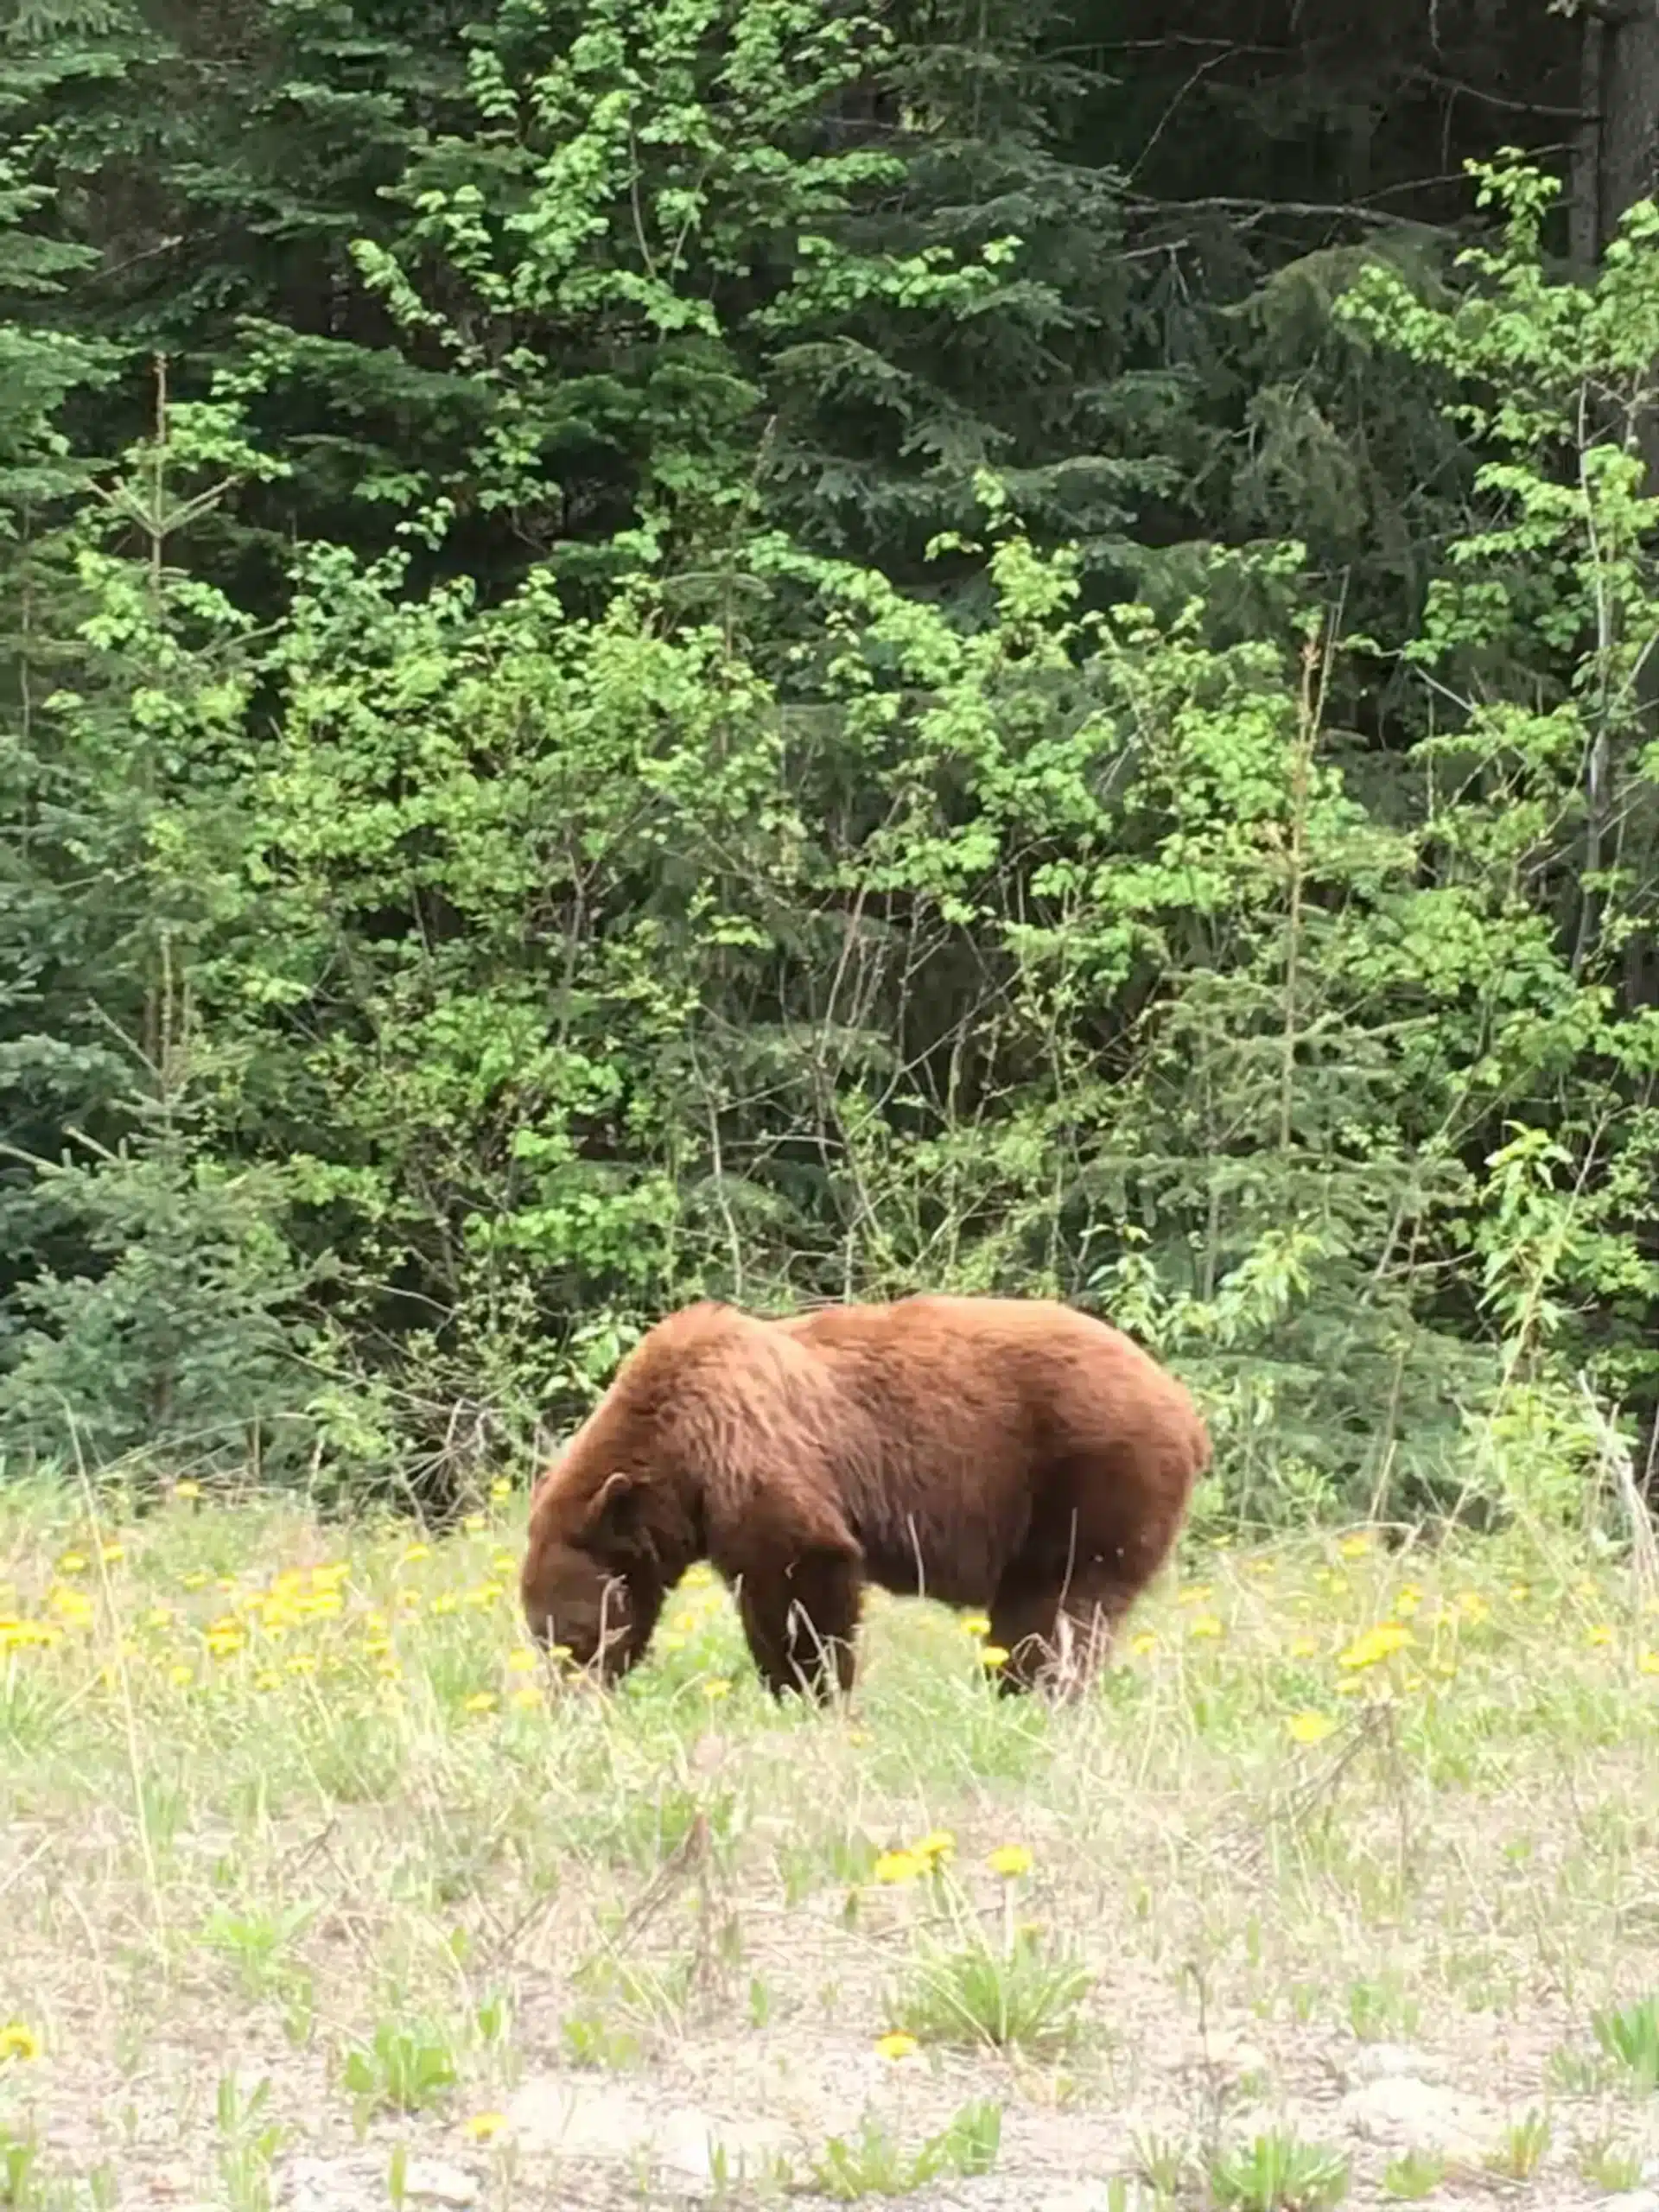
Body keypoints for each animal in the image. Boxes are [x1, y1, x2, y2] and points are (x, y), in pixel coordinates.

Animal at [519, 1292, 1209, 1701]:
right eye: (541, 1636)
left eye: (571, 1636)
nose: (570, 1699)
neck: (675, 1456)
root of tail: (1185, 1409)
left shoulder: (750, 1452)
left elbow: (801, 1575)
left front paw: (812, 1687)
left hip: (1092, 1477)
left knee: (1058, 1601)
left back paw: (1030, 1688)